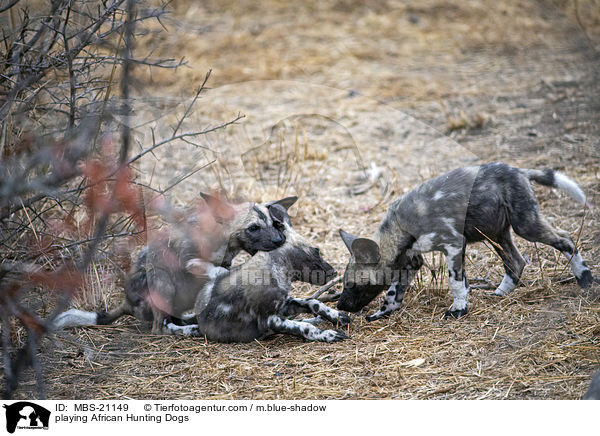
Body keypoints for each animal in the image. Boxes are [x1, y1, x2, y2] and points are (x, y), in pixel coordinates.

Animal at [52, 195, 296, 334]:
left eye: (275, 223)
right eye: (253, 228)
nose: (279, 240)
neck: (223, 240)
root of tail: (127, 303)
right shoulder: (190, 261)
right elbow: (213, 269)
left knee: (173, 318)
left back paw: (188, 321)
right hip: (162, 283)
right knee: (159, 329)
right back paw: (188, 329)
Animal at [164, 204, 352, 344]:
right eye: (317, 250)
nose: (334, 272)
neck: (277, 267)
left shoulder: (285, 304)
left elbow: (313, 302)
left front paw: (336, 316)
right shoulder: (270, 319)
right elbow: (304, 328)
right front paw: (327, 334)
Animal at [338, 164, 596, 320]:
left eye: (352, 285)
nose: (340, 306)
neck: (400, 229)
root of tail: (518, 170)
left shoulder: (453, 244)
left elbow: (455, 282)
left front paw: (458, 309)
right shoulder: (411, 261)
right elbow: (394, 292)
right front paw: (384, 312)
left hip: (525, 226)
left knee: (565, 239)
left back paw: (584, 277)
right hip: (496, 235)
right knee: (516, 261)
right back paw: (500, 293)